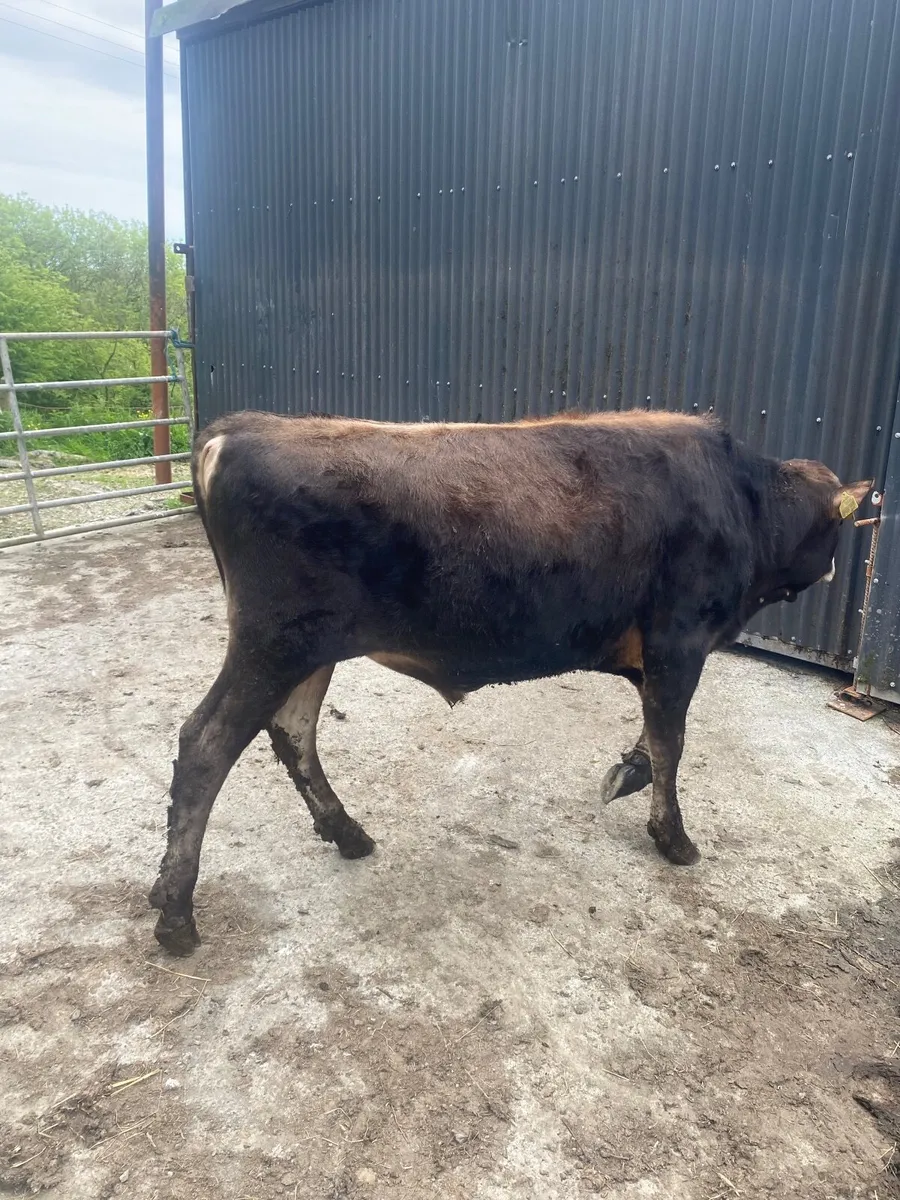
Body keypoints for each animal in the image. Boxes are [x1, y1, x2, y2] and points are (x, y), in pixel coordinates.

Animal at [149, 409, 872, 955]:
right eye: (835, 531)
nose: (838, 572)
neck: (741, 499)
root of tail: (242, 429)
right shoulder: (680, 639)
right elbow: (672, 740)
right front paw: (674, 838)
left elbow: (652, 736)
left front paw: (625, 775)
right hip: (273, 644)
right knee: (206, 745)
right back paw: (176, 914)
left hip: (307, 649)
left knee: (293, 730)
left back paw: (345, 833)